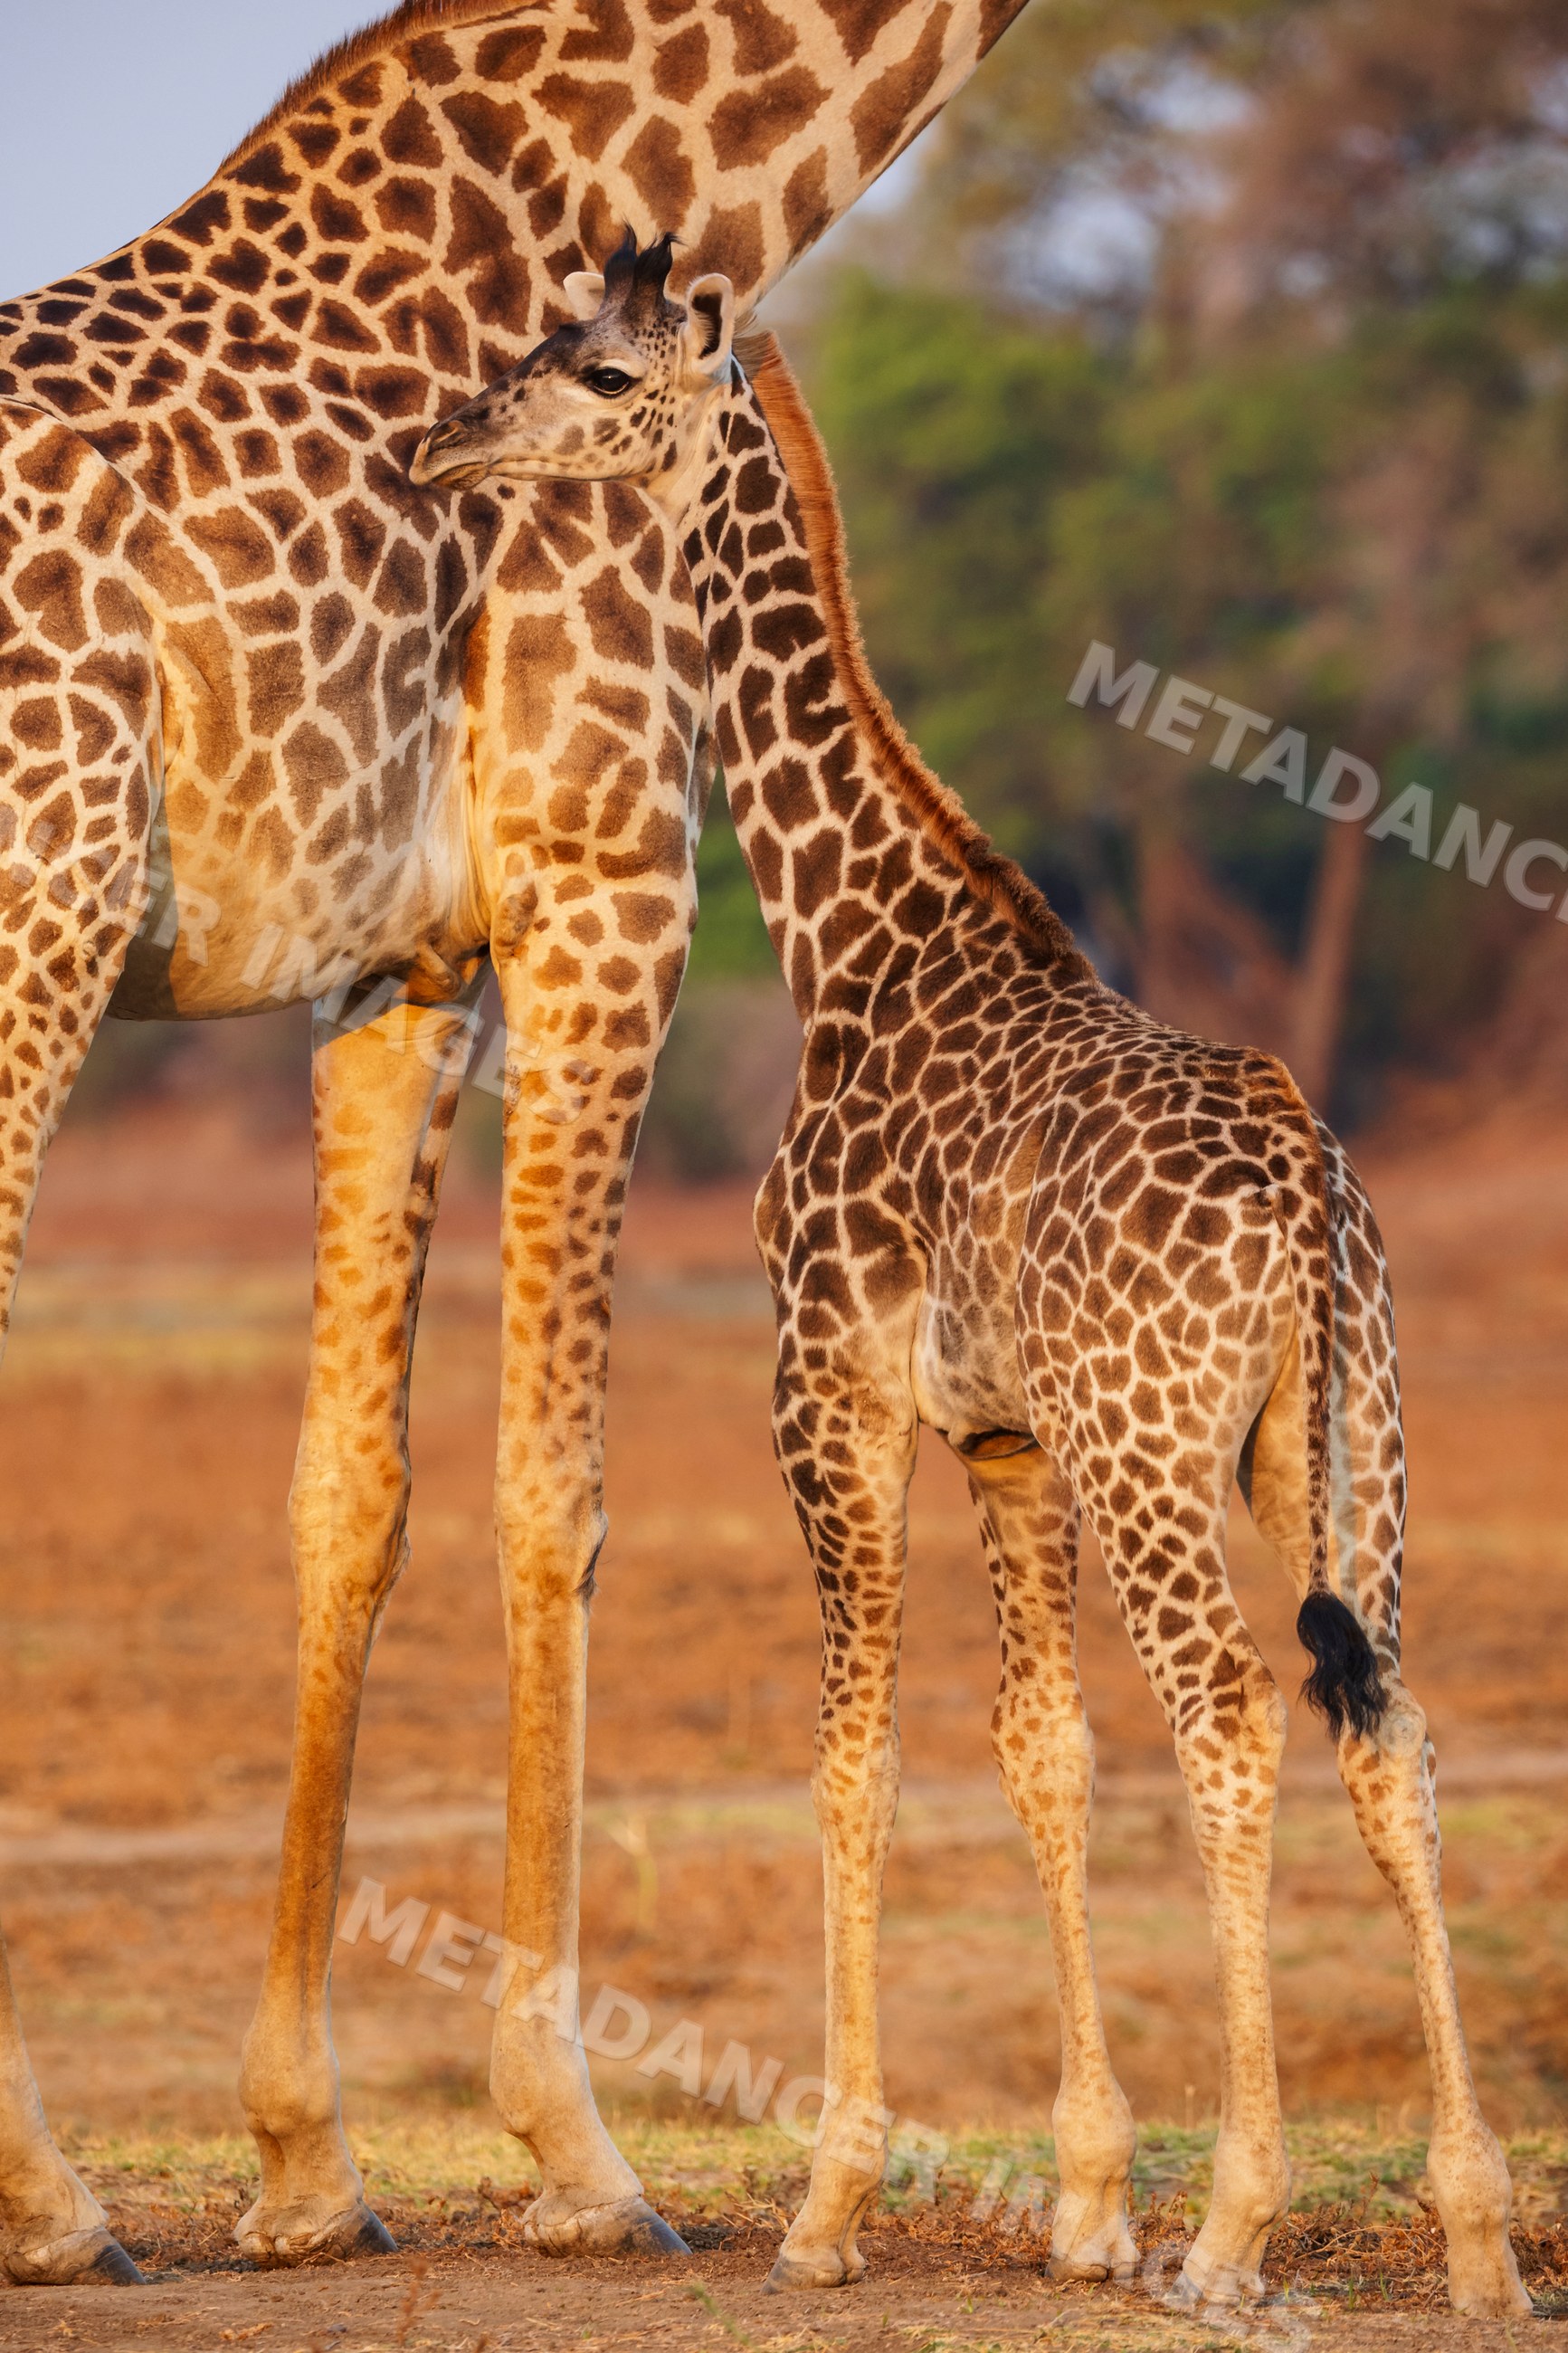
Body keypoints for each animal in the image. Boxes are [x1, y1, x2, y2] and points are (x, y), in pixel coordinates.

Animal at [0, 0, 1041, 2288]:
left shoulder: (399, 962)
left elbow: (352, 1490)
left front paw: (308, 2161)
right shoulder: (602, 891)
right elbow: (555, 1490)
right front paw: (582, 2149)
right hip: (41, 914)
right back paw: (54, 2196)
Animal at [410, 239, 1533, 2319]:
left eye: (595, 370)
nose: (450, 438)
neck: (848, 931)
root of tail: (1309, 1191)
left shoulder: (828, 1399)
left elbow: (849, 1758)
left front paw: (830, 2203)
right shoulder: (1006, 1438)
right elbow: (1036, 1751)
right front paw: (1085, 2206)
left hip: (1157, 1452)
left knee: (1231, 1711)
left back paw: (1238, 2224)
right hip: (1336, 1445)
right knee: (1389, 1728)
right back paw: (1477, 2232)